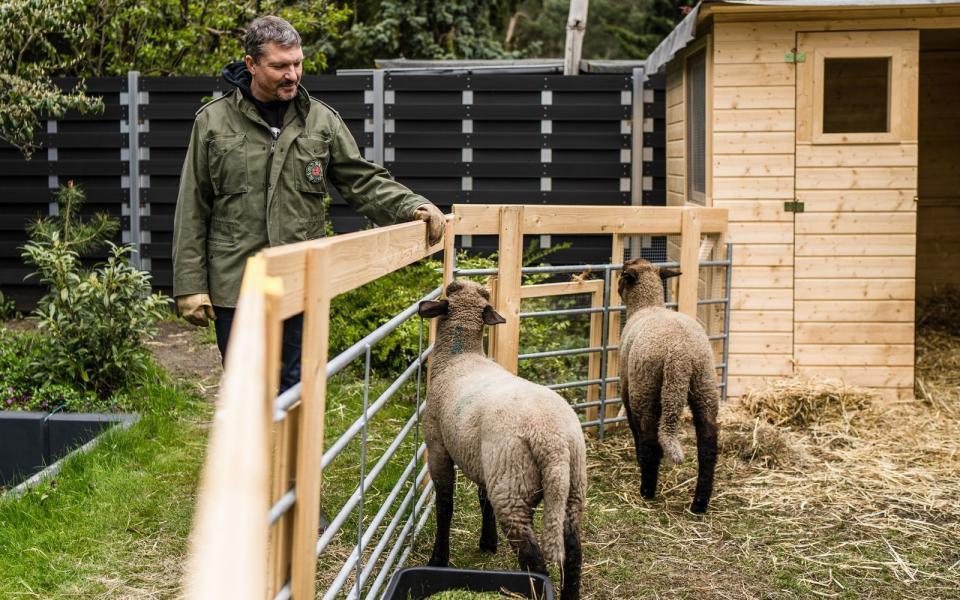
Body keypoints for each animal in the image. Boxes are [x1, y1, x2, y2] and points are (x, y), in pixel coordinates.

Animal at [418, 282, 584, 600]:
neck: (459, 356)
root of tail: (553, 442)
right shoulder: (483, 462)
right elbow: (484, 500)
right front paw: (488, 542)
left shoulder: (437, 446)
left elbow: (445, 505)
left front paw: (439, 559)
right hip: (571, 488)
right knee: (573, 550)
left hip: (512, 485)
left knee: (534, 559)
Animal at [616, 255, 720, 512]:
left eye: (622, 273)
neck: (647, 306)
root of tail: (680, 352)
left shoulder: (626, 387)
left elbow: (635, 429)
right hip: (704, 385)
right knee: (708, 446)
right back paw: (699, 504)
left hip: (645, 389)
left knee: (650, 441)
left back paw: (647, 491)